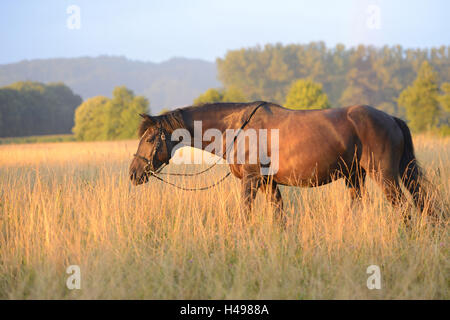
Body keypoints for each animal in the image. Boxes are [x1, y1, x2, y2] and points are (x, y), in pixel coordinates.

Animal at [127, 102, 428, 222]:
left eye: (151, 138)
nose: (134, 173)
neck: (238, 129)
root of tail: (391, 118)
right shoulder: (268, 183)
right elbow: (279, 217)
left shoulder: (252, 181)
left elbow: (246, 214)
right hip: (355, 177)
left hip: (384, 176)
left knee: (404, 209)